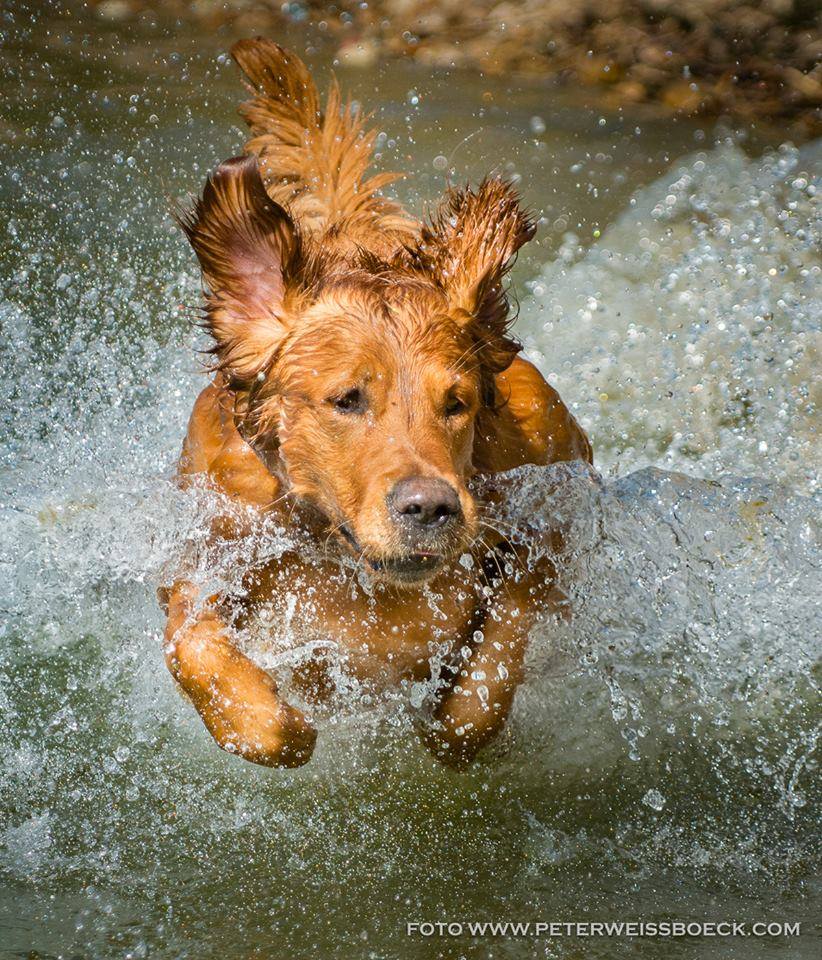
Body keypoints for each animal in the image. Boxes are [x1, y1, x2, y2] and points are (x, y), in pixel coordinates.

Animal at [163, 41, 592, 768]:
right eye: (347, 399)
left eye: (458, 403)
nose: (431, 508)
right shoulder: (206, 546)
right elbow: (202, 655)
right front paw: (284, 723)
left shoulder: (546, 514)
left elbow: (490, 665)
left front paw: (448, 717)